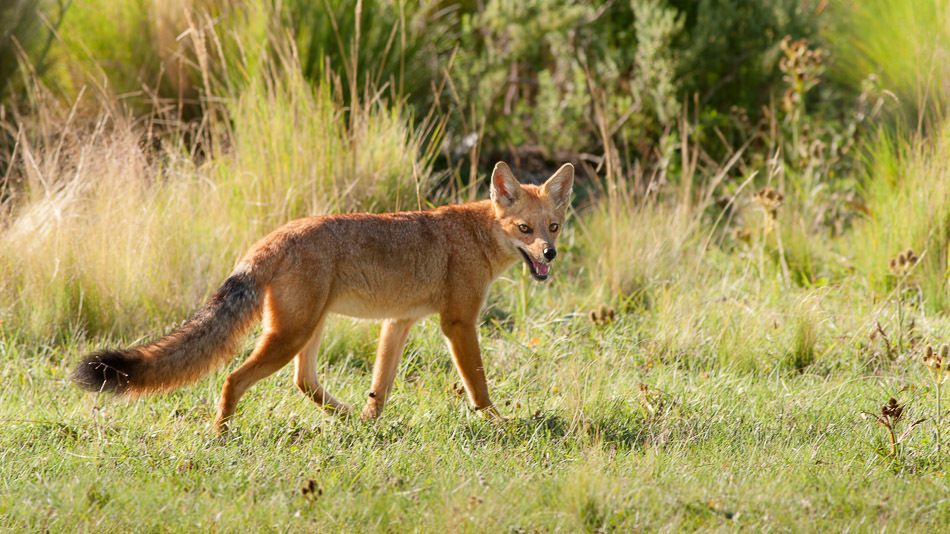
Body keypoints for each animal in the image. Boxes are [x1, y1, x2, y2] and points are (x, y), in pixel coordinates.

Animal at [72, 161, 572, 434]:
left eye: (554, 227)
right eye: (524, 229)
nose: (549, 254)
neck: (475, 234)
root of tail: (270, 238)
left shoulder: (399, 322)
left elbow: (380, 388)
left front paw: (372, 423)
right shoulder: (458, 323)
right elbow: (479, 388)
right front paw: (503, 424)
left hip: (308, 331)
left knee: (303, 382)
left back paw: (347, 417)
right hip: (290, 336)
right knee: (233, 378)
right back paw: (220, 435)